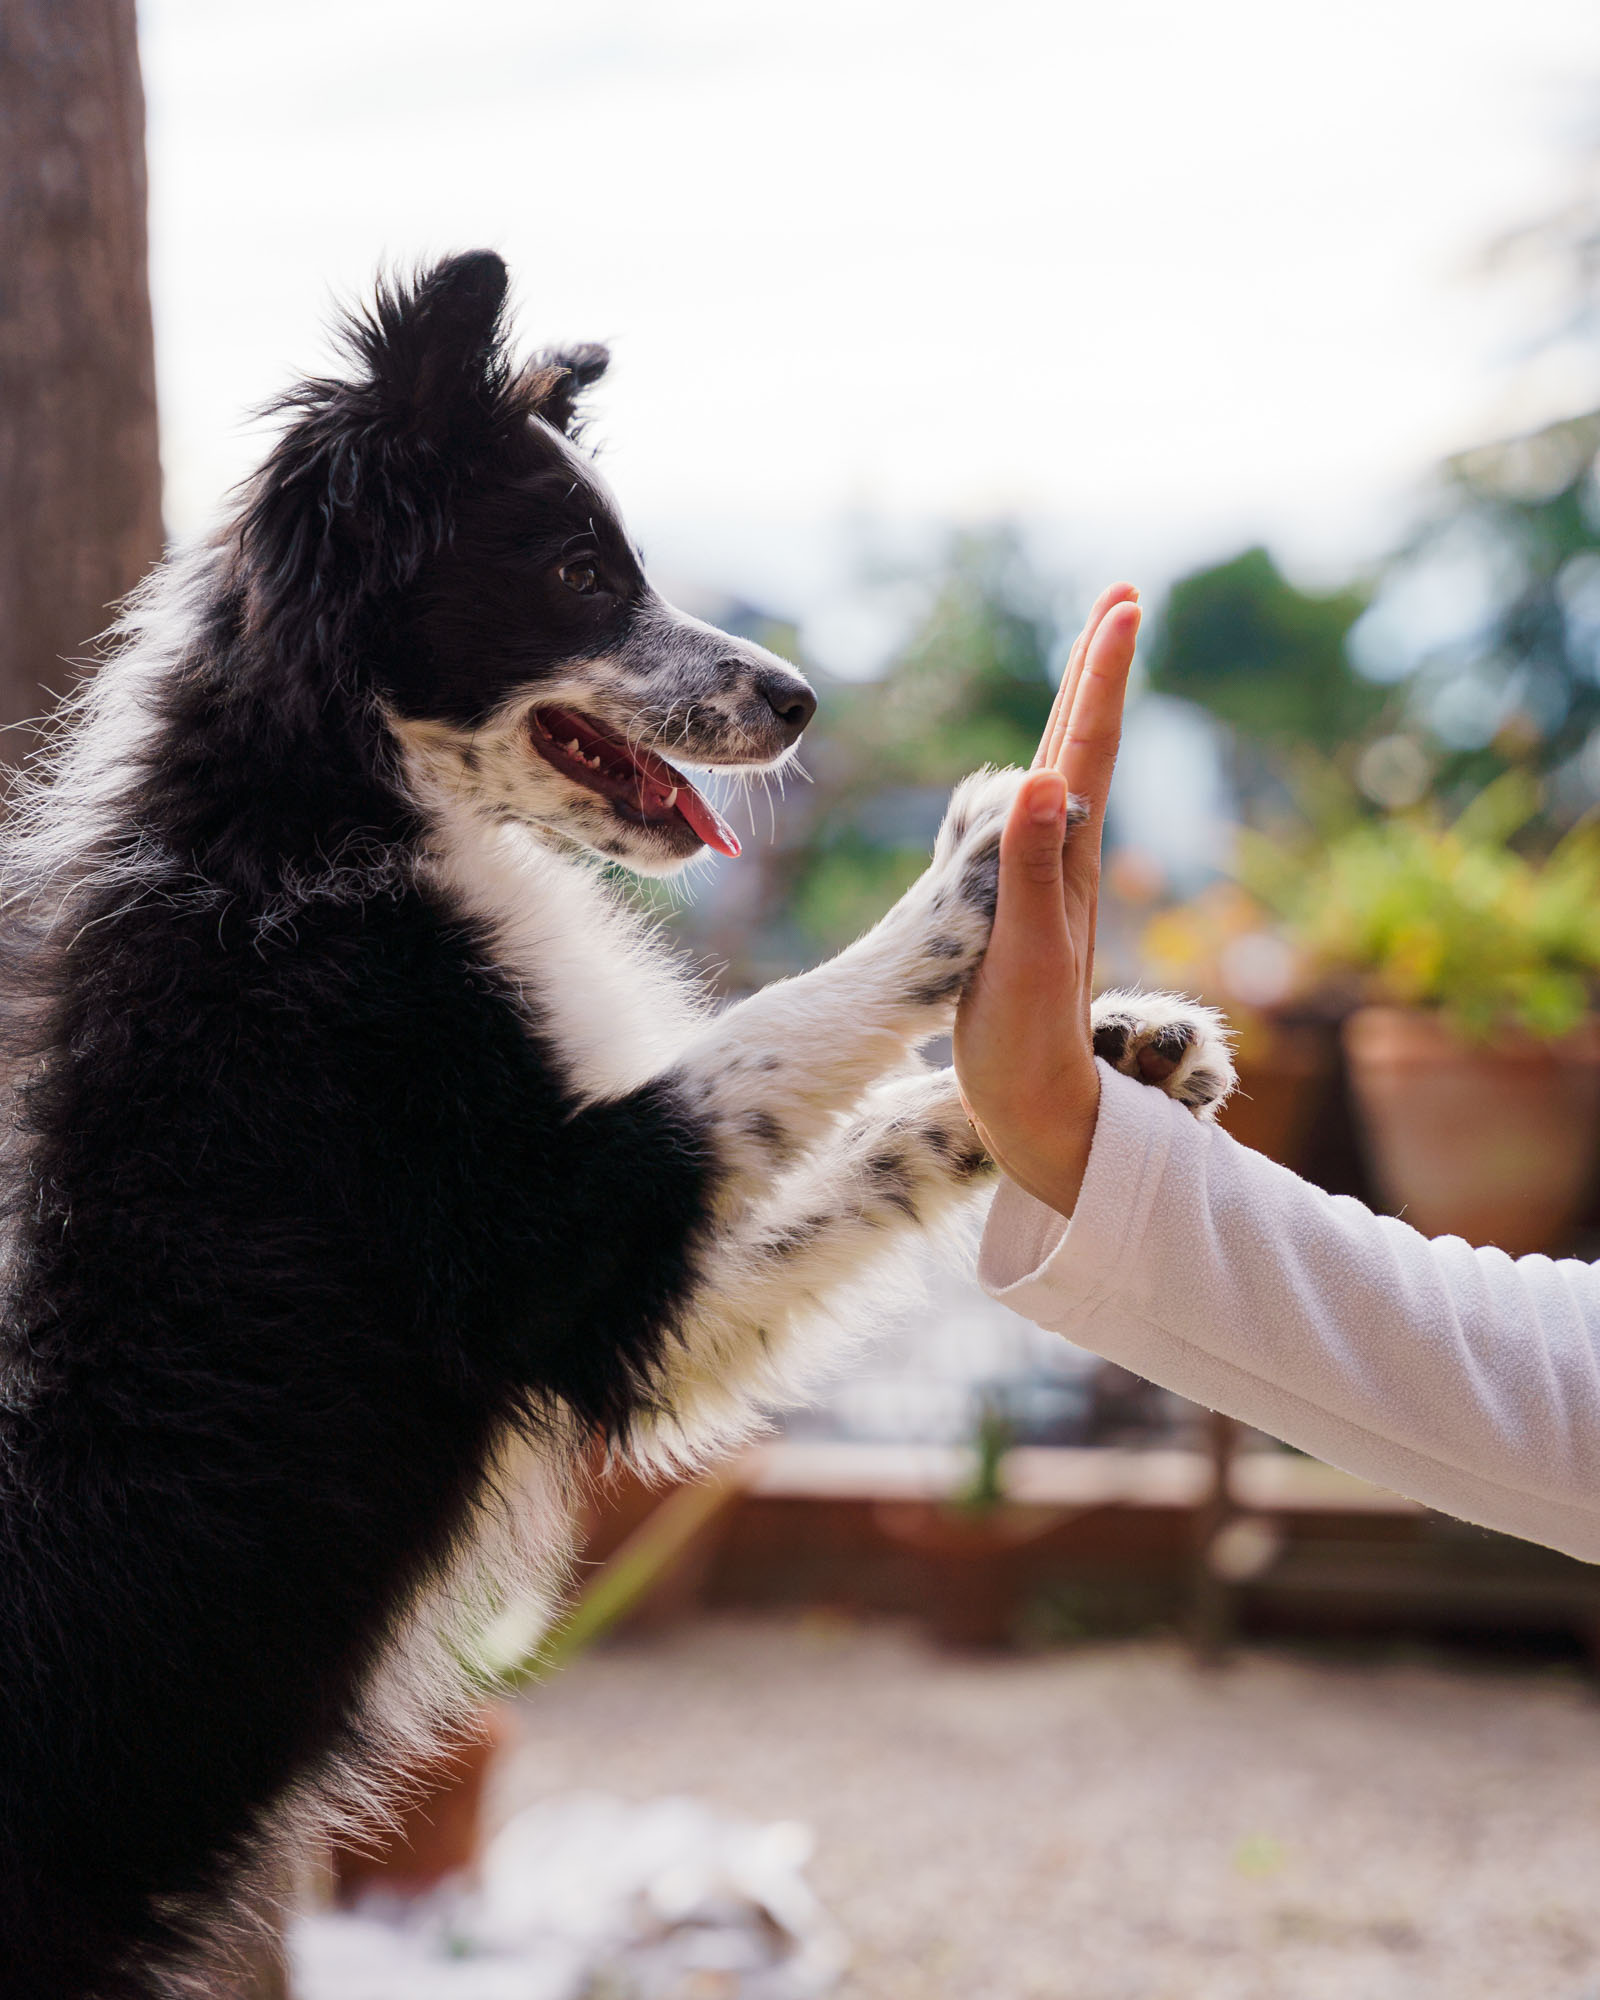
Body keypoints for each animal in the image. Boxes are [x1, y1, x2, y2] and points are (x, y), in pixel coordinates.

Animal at [0, 254, 1232, 2000]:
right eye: (580, 570)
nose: (800, 697)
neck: (327, 805)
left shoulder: (625, 1308)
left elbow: (864, 1130)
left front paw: (1114, 1054)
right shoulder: (543, 1238)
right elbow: (770, 1038)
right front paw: (984, 871)